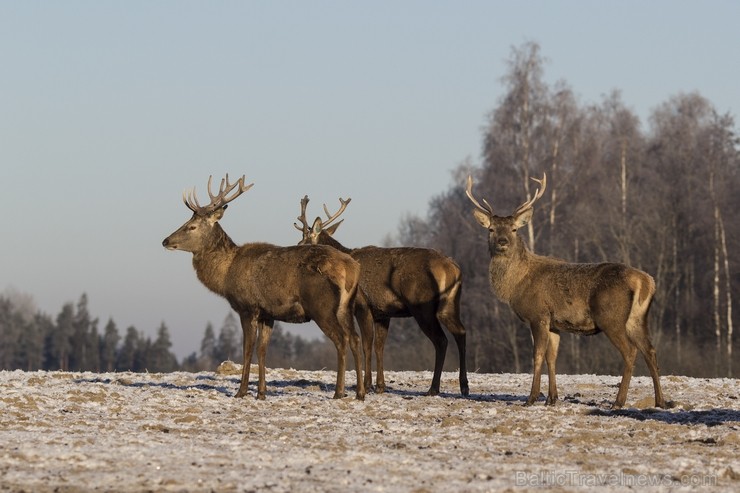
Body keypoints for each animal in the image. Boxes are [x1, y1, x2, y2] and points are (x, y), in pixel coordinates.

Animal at [165, 173, 368, 400]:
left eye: (192, 226)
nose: (165, 241)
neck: (226, 275)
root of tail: (351, 267)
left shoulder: (247, 307)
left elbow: (247, 349)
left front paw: (241, 391)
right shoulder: (268, 314)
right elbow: (262, 351)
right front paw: (261, 392)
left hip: (322, 307)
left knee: (341, 340)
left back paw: (339, 392)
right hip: (346, 307)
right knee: (355, 338)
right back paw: (360, 393)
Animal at [294, 195, 468, 396]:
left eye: (302, 243)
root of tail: (453, 269)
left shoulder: (363, 304)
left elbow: (366, 344)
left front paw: (368, 385)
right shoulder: (383, 313)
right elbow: (379, 346)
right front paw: (380, 386)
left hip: (422, 307)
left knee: (441, 341)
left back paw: (433, 388)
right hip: (450, 304)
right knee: (461, 332)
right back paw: (464, 386)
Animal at [466, 173, 668, 408]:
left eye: (514, 229)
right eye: (491, 229)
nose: (502, 241)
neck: (515, 286)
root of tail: (646, 281)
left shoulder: (538, 315)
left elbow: (537, 356)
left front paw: (531, 398)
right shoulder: (555, 324)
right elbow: (551, 358)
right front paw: (552, 399)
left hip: (611, 317)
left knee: (630, 351)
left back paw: (618, 402)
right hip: (637, 319)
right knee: (650, 350)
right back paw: (660, 401)